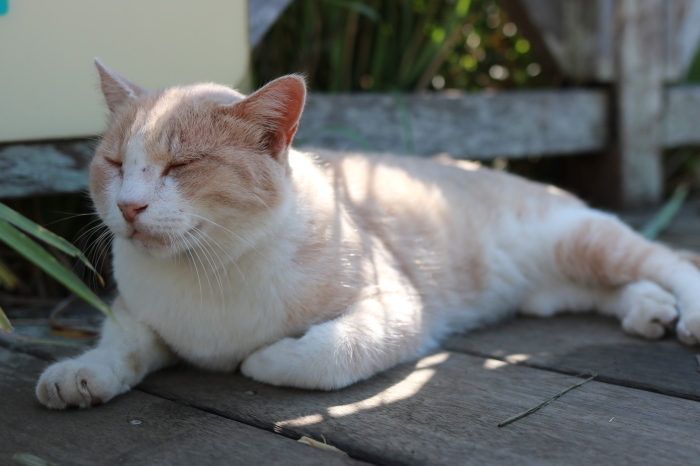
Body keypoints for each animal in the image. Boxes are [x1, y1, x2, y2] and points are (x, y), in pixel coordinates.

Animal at [37, 59, 700, 408]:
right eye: (115, 163)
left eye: (182, 166)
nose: (129, 205)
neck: (207, 271)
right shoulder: (134, 312)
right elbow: (122, 343)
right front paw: (83, 374)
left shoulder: (395, 307)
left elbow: (317, 355)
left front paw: (260, 359)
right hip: (555, 289)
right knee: (619, 288)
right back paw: (648, 312)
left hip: (584, 241)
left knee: (669, 262)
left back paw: (683, 314)